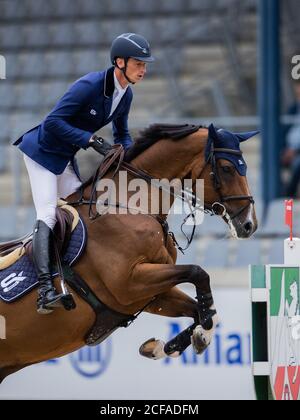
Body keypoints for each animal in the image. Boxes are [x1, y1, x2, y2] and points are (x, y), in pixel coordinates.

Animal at [0, 123, 258, 382]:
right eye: (227, 168)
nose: (249, 225)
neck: (130, 208)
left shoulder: (150, 295)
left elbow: (199, 308)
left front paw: (163, 347)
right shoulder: (128, 284)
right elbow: (198, 272)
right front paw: (202, 333)